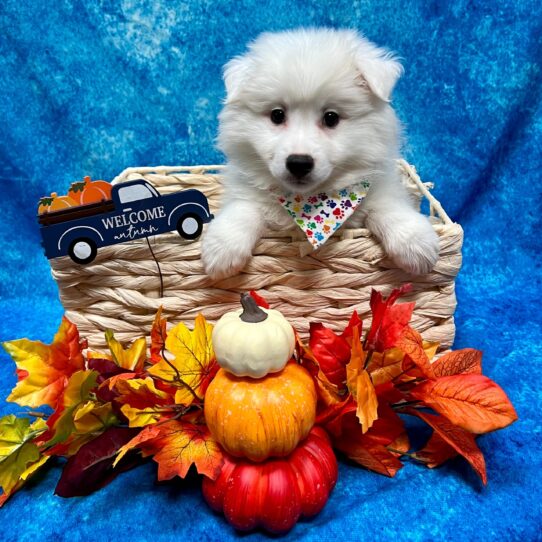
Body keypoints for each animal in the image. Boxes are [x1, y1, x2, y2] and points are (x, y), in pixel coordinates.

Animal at [202, 27, 440, 278]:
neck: (308, 202)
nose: (298, 163)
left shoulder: (380, 188)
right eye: (277, 115)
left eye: (331, 118)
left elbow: (388, 207)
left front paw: (415, 242)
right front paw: (222, 248)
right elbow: (243, 208)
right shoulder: (244, 189)